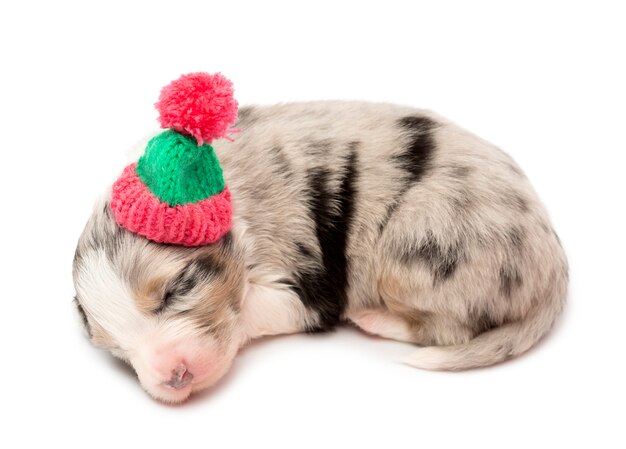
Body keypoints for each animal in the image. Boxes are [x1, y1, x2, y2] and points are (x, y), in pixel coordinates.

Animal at [72, 101, 564, 402]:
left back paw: (373, 318)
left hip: (416, 250)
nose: (172, 378)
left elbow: (254, 311)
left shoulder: (307, 285)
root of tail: (556, 269)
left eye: (180, 288)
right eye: (115, 348)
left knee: (447, 331)